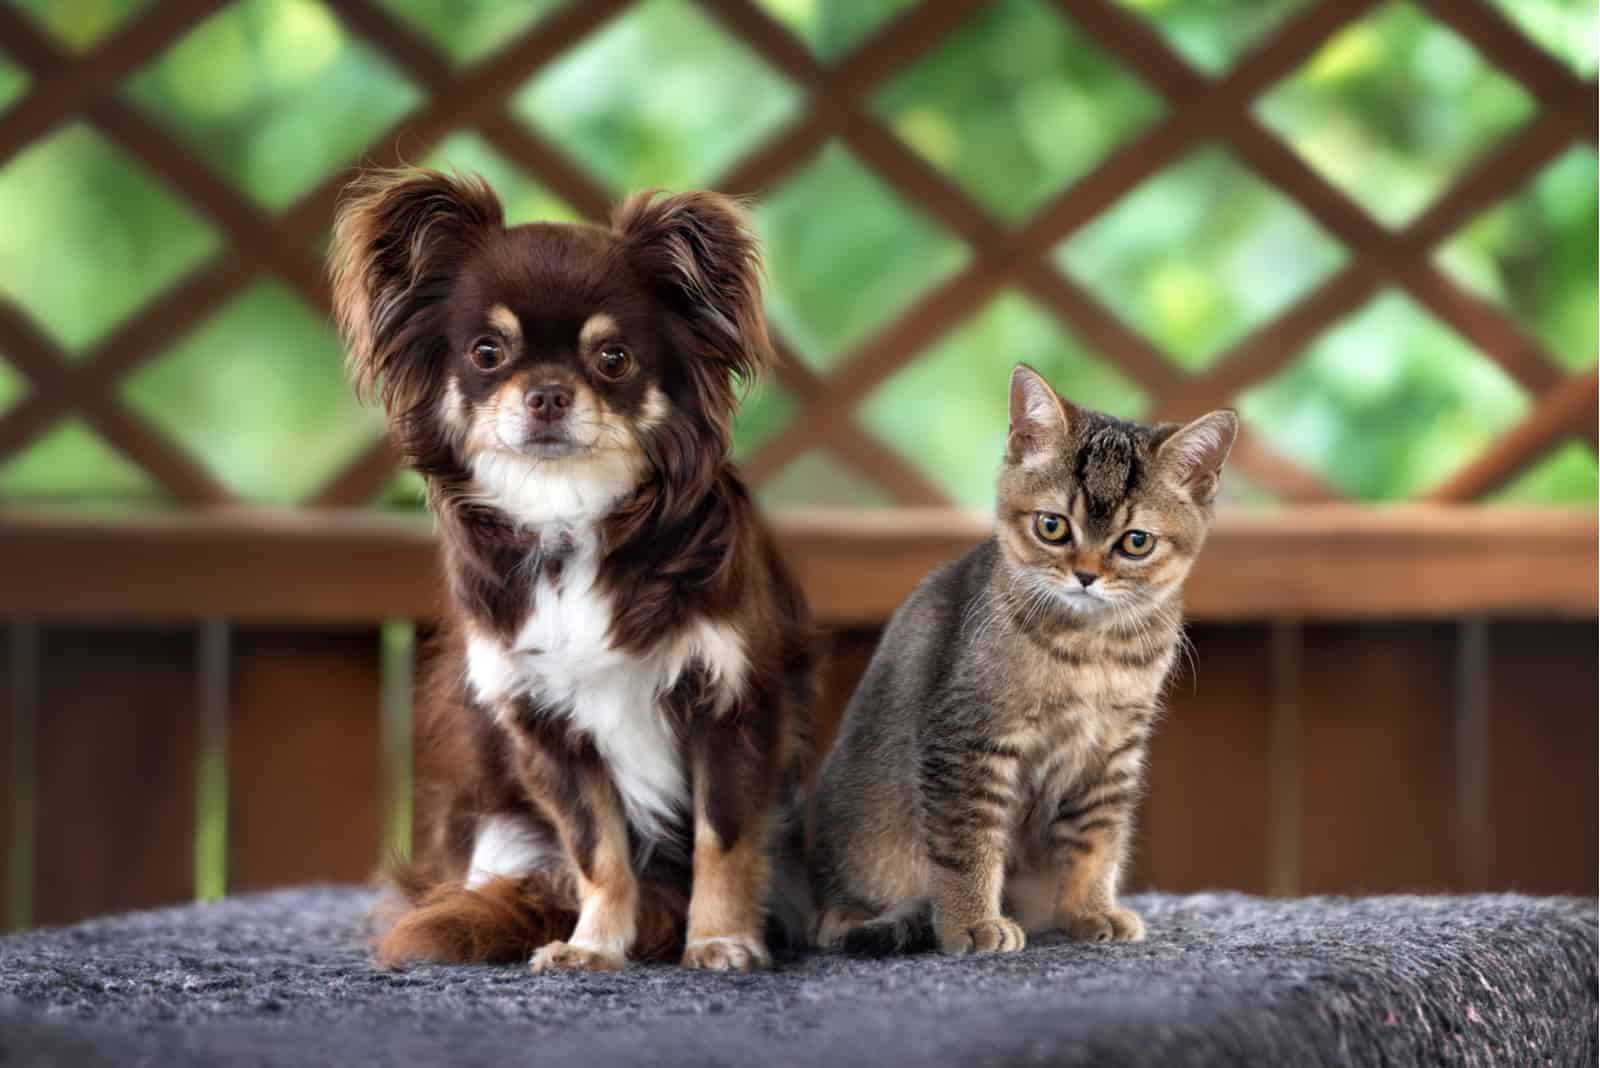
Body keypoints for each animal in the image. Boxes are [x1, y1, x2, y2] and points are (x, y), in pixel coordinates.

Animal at [332, 168, 819, 978]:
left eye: (613, 359)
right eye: (487, 352)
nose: (549, 393)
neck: (570, 517)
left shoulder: (732, 705)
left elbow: (722, 842)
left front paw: (719, 940)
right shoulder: (549, 731)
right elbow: (598, 852)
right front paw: (594, 944)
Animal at [812, 369, 1235, 959]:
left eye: (1136, 542)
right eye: (1052, 527)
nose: (1086, 575)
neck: (1089, 651)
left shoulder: (1112, 753)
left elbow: (1097, 841)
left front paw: (1090, 911)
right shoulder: (965, 739)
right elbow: (966, 845)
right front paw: (971, 923)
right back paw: (850, 918)